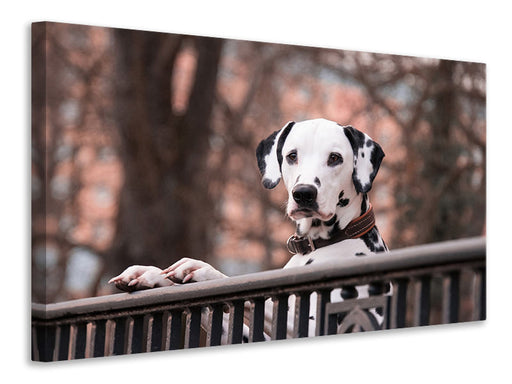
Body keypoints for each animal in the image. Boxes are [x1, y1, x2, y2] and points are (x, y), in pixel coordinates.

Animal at [109, 118, 388, 340]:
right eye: (292, 155)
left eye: (335, 158)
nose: (304, 194)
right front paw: (152, 275)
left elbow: (246, 291)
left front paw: (202, 270)